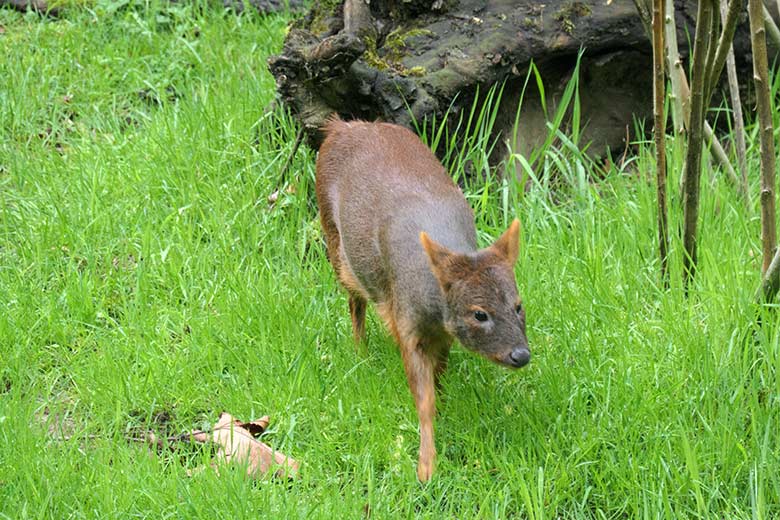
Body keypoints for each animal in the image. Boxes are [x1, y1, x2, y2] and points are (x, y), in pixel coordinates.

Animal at [316, 118, 532, 484]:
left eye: (518, 306)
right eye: (479, 313)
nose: (520, 354)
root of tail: (340, 126)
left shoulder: (443, 335)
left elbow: (439, 381)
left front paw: (444, 416)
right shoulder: (407, 325)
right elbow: (423, 399)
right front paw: (426, 467)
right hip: (335, 241)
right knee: (354, 301)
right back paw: (360, 353)